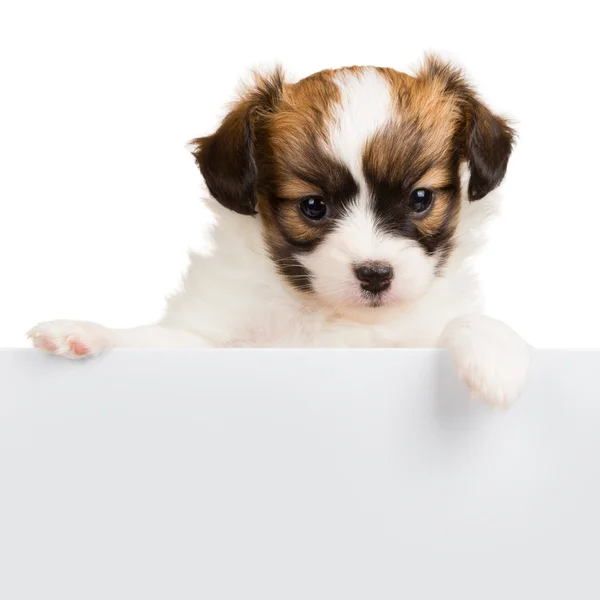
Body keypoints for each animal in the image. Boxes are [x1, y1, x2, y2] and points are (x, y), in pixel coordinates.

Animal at [29, 55, 528, 408]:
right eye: (313, 207)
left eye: (420, 199)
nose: (375, 275)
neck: (329, 314)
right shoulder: (208, 341)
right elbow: (155, 341)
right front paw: (84, 332)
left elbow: (463, 321)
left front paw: (495, 358)